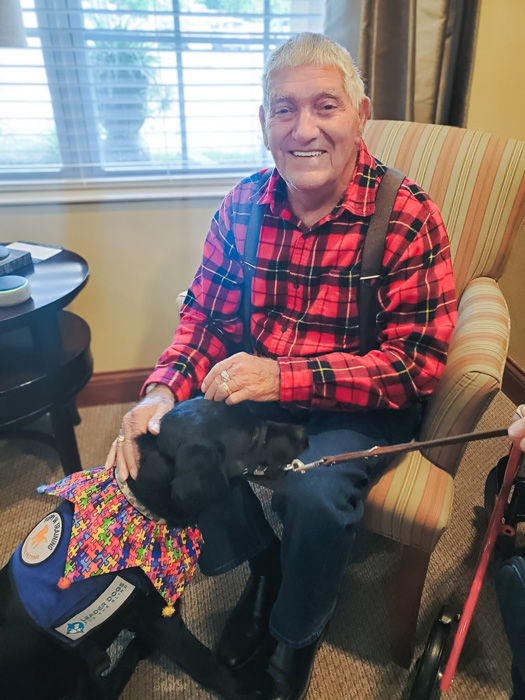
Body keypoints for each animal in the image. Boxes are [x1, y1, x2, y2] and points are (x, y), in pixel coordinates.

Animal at [0, 400, 308, 700]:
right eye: (255, 437)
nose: (304, 433)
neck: (137, 505)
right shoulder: (158, 620)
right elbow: (203, 661)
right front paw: (248, 687)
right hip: (81, 679)